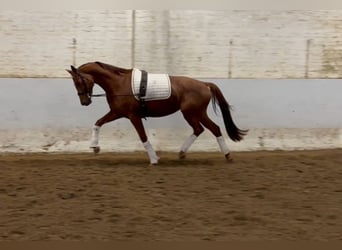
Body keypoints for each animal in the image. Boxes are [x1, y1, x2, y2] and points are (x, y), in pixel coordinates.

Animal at [66, 61, 246, 165]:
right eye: (74, 83)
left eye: (79, 81)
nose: (85, 102)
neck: (118, 83)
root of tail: (204, 84)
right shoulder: (117, 112)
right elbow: (98, 123)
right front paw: (95, 146)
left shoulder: (133, 116)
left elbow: (143, 137)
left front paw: (154, 159)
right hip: (192, 114)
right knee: (199, 129)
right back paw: (182, 153)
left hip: (193, 113)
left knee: (213, 129)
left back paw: (228, 156)